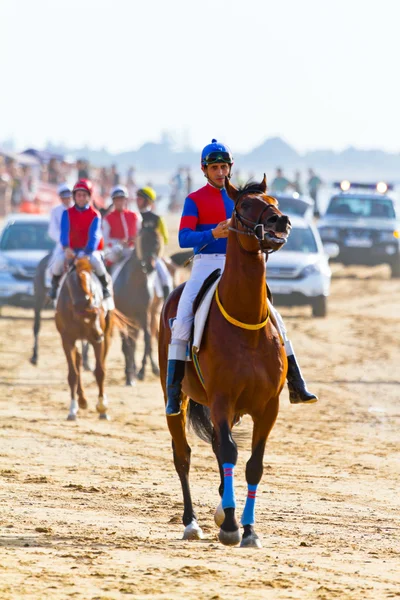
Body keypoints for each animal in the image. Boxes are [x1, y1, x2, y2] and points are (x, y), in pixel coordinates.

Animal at [54, 255, 129, 420]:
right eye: (85, 319)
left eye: (98, 313)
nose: (98, 334)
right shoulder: (67, 340)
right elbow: (73, 374)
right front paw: (72, 409)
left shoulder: (98, 340)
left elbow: (100, 371)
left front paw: (102, 408)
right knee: (78, 361)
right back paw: (81, 400)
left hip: (106, 336)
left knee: (101, 362)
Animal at [158, 175, 292, 548]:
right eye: (244, 206)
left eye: (274, 201)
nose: (281, 220)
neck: (245, 322)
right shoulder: (221, 398)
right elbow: (229, 453)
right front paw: (232, 526)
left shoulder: (268, 406)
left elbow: (253, 463)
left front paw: (248, 529)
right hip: (178, 399)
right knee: (183, 455)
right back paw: (192, 522)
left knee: (220, 446)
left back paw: (220, 508)